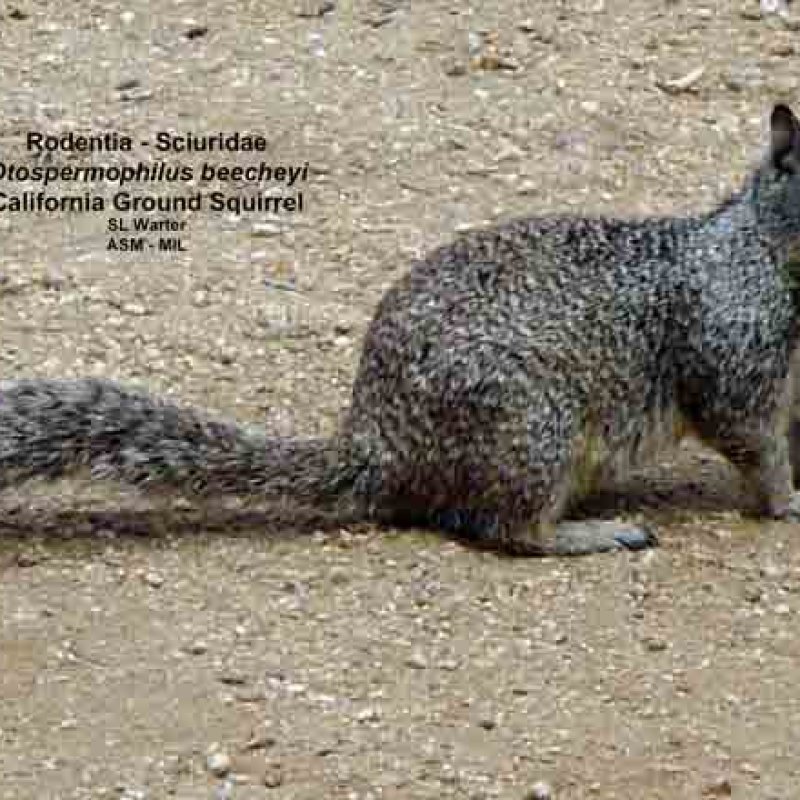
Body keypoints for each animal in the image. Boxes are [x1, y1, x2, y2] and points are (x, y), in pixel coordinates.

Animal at [4, 104, 800, 556]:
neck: (761, 246)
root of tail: (379, 449)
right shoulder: (737, 357)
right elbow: (752, 442)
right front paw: (788, 502)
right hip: (530, 426)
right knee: (508, 530)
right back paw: (595, 533)